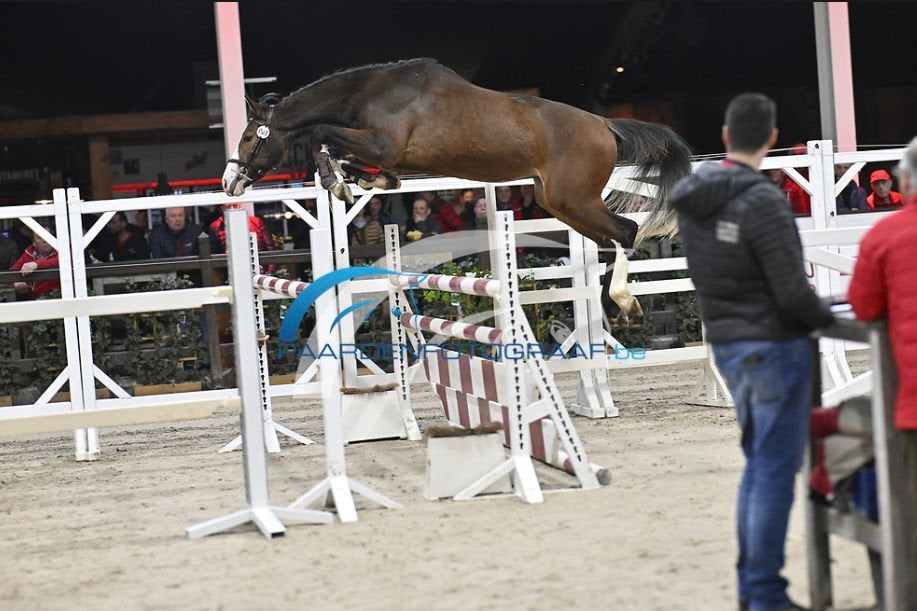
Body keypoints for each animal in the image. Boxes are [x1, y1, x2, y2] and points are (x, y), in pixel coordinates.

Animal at [222, 58, 692, 316]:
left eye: (247, 138)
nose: (229, 182)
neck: (370, 94)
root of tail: (606, 125)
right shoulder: (391, 156)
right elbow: (375, 170)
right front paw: (354, 180)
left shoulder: (382, 144)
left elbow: (322, 133)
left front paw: (337, 183)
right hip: (559, 202)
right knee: (611, 237)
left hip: (572, 198)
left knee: (627, 231)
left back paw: (624, 301)